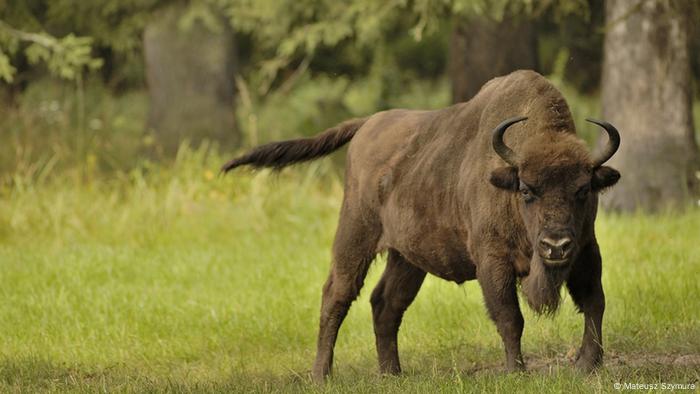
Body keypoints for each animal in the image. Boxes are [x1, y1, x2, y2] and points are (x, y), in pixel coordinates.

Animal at [221, 69, 620, 380]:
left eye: (583, 189)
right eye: (526, 190)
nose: (555, 245)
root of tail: (367, 124)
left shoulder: (587, 250)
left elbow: (594, 302)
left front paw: (588, 365)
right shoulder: (492, 261)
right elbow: (510, 317)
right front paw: (515, 371)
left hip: (406, 258)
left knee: (385, 303)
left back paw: (391, 373)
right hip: (355, 235)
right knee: (336, 295)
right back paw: (322, 375)